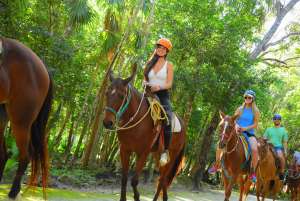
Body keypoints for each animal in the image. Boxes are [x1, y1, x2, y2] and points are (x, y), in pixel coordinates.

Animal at [103, 70, 185, 201]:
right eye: (106, 93)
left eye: (121, 96)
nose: (107, 122)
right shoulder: (125, 150)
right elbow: (124, 179)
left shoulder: (143, 153)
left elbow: (134, 181)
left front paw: (137, 196)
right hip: (157, 155)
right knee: (162, 179)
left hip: (172, 155)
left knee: (163, 178)